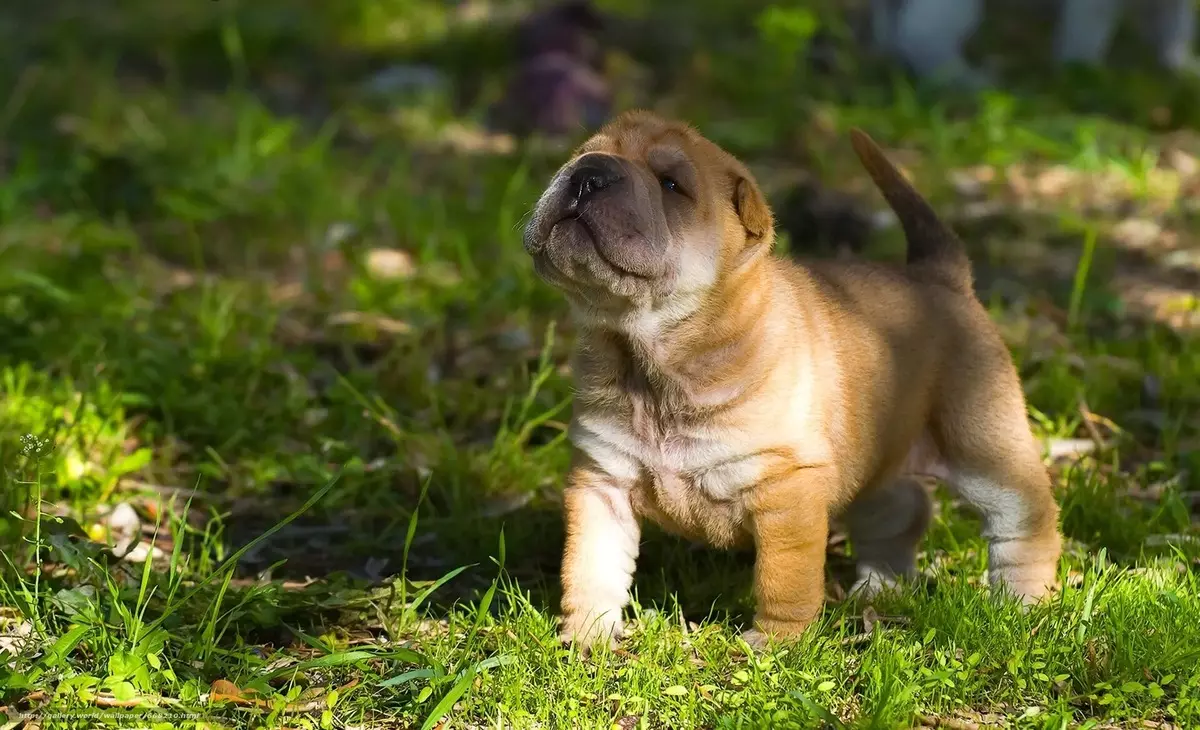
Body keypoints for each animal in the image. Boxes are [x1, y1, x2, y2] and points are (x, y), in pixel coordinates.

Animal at [520, 109, 1065, 648]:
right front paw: (588, 634)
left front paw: (773, 645)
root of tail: (939, 276)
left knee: (1023, 522)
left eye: (672, 184)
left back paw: (1021, 604)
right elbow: (591, 566)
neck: (648, 358)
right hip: (873, 453)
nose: (589, 173)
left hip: (983, 445)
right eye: (583, 152)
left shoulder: (785, 487)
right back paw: (880, 589)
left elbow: (784, 579)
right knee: (900, 509)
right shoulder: (602, 482)